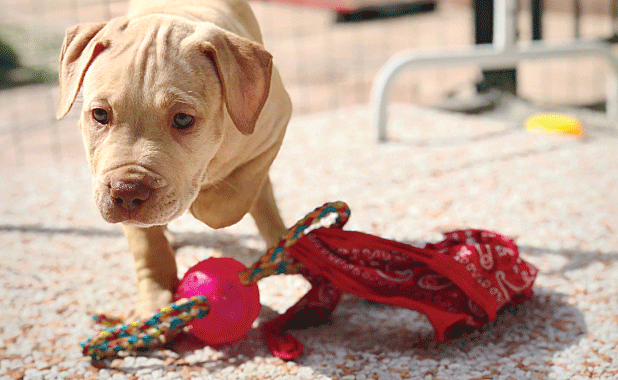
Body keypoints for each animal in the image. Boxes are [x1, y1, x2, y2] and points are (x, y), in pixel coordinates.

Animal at [57, 0, 292, 316]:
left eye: (182, 119)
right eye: (100, 114)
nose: (127, 192)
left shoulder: (273, 128)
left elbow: (232, 198)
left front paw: (205, 204)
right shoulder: (111, 175)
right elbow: (147, 245)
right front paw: (153, 301)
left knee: (262, 198)